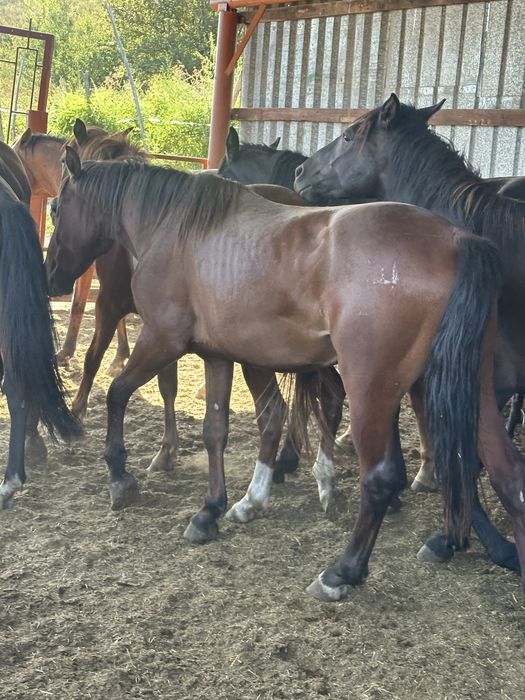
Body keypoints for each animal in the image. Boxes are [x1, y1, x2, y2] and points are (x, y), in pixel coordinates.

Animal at [45, 147, 525, 601]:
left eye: (55, 208)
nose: (52, 277)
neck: (176, 226)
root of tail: (456, 241)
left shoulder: (162, 340)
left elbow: (117, 393)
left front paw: (119, 477)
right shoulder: (217, 355)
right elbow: (215, 431)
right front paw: (210, 511)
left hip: (373, 392)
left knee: (381, 478)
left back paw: (341, 572)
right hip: (471, 392)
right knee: (506, 473)